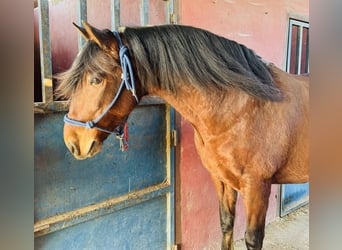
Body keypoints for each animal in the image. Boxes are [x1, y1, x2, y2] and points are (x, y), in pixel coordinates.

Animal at [55, 22, 308, 250]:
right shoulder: (221, 179)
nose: (73, 142)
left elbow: (253, 239)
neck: (241, 108)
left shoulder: (257, 187)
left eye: (96, 79)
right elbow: (226, 225)